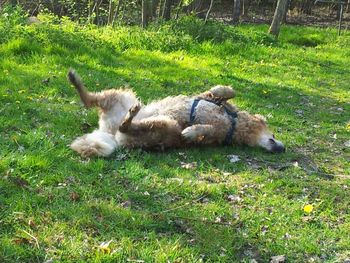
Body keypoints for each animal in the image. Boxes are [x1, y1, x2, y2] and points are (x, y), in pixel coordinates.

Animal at [67, 69, 284, 158]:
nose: (282, 148)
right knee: (89, 100)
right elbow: (227, 91)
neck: (235, 123)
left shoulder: (214, 136)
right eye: (273, 134)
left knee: (124, 125)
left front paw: (191, 131)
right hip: (121, 96)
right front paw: (222, 90)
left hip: (165, 126)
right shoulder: (206, 95)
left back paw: (131, 117)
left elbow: (207, 129)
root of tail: (108, 133)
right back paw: (75, 79)